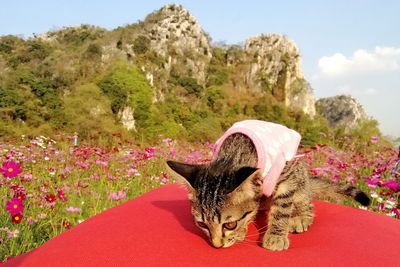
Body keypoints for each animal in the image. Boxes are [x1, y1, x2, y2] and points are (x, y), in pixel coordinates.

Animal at [167, 134, 370, 251]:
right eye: (202, 224)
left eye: (229, 224)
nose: (217, 245)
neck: (235, 152)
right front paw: (243, 230)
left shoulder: (286, 175)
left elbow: (282, 209)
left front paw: (275, 236)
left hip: (299, 176)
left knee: (305, 200)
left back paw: (302, 217)